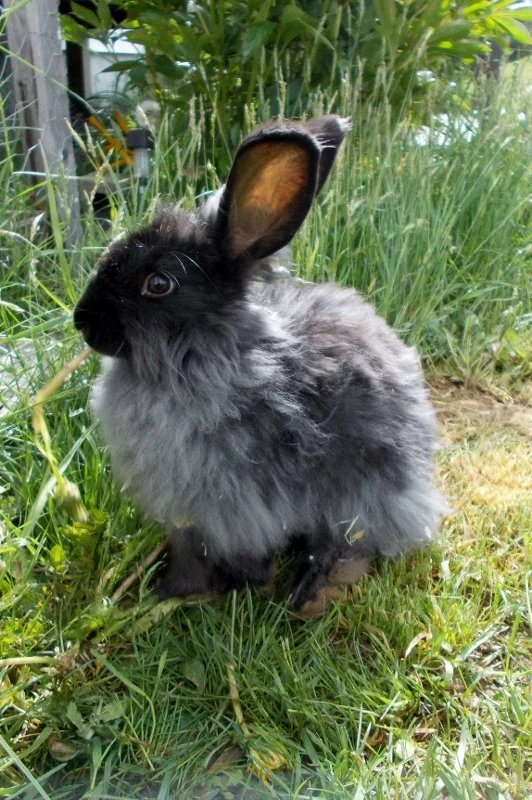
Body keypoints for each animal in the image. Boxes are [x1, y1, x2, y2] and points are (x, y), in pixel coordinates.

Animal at [74, 115, 445, 612]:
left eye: (159, 283)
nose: (82, 321)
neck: (208, 354)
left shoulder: (225, 503)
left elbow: (207, 552)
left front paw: (181, 591)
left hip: (371, 491)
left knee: (352, 542)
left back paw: (308, 588)